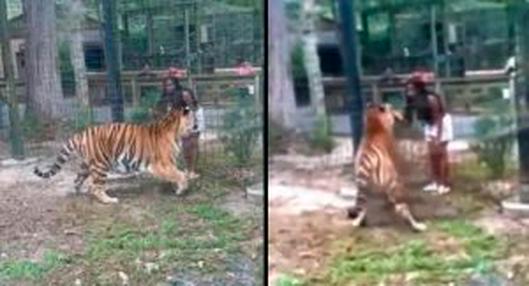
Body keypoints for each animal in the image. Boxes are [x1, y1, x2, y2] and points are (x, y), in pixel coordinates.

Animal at [34, 103, 196, 203]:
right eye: (193, 118)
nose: (197, 125)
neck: (174, 130)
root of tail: (81, 134)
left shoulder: (168, 164)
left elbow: (179, 173)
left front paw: (179, 187)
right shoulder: (161, 164)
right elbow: (179, 174)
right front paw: (182, 188)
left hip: (86, 165)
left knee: (78, 181)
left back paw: (80, 192)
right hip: (101, 165)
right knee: (95, 187)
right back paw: (109, 200)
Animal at [348, 103, 426, 232]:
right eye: (391, 107)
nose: (399, 112)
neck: (374, 121)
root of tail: (367, 159)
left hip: (363, 186)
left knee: (363, 206)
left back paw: (357, 222)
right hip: (394, 184)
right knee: (402, 207)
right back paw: (418, 226)